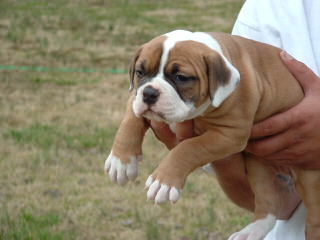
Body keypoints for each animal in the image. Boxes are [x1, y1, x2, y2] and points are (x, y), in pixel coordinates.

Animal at [105, 30, 320, 240]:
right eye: (140, 72)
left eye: (181, 77)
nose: (149, 93)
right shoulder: (135, 97)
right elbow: (130, 121)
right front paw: (121, 162)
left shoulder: (229, 134)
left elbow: (188, 148)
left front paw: (163, 181)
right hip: (260, 169)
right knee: (269, 202)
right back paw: (250, 232)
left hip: (311, 179)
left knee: (313, 219)